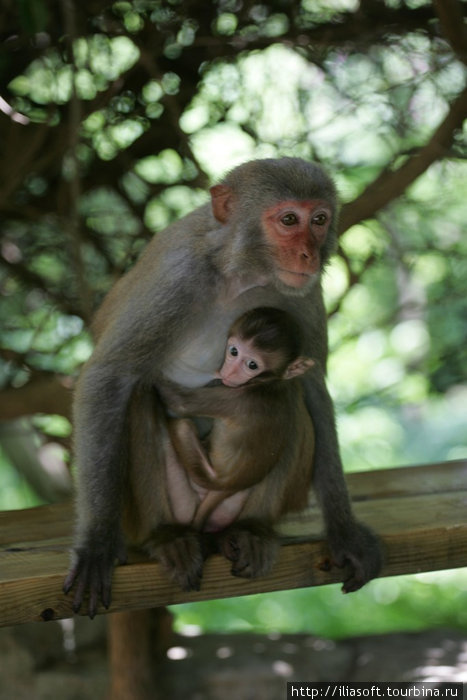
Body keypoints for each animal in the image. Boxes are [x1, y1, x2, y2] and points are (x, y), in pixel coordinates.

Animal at [64, 156, 382, 616]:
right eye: (289, 219)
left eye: (319, 219)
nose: (308, 253)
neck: (240, 273)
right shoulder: (178, 276)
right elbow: (111, 376)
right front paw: (97, 544)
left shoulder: (302, 293)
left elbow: (312, 387)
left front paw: (345, 531)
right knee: (138, 395)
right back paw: (167, 536)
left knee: (287, 397)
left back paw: (251, 529)